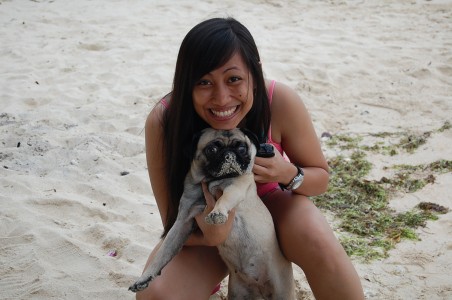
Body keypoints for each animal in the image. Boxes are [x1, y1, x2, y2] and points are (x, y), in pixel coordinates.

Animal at [129, 127, 294, 298]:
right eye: (212, 150)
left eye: (242, 148)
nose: (229, 154)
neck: (210, 181)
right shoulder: (182, 223)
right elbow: (163, 253)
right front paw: (145, 277)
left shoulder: (236, 187)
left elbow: (224, 199)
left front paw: (217, 212)